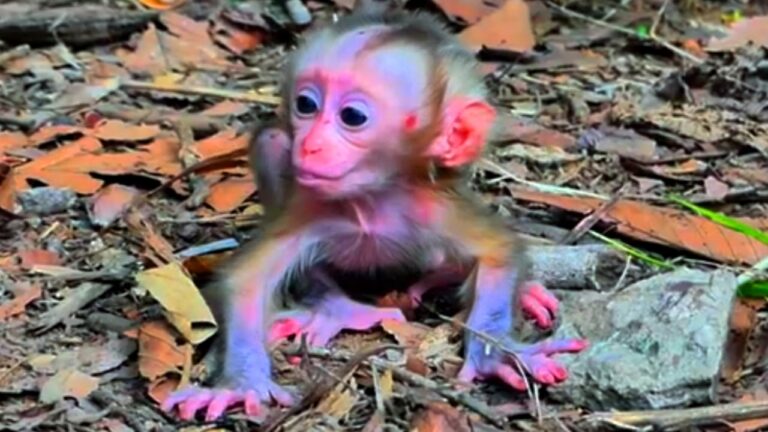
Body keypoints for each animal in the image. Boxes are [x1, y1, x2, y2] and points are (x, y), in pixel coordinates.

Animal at [162, 9, 588, 422]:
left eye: (352, 116)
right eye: (306, 105)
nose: (310, 145)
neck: (370, 200)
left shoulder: (435, 206)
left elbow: (498, 253)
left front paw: (496, 353)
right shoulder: (309, 207)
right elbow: (247, 280)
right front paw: (241, 383)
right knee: (272, 141)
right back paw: (336, 309)